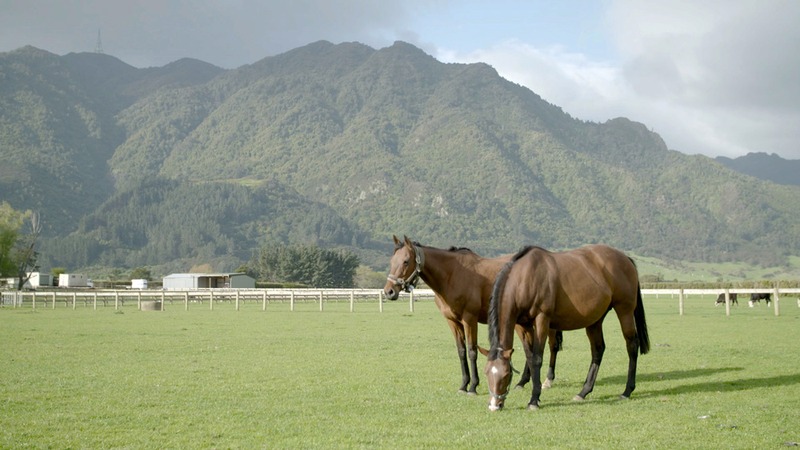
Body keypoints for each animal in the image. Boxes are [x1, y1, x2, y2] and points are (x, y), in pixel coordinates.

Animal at [382, 236, 564, 394]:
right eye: (392, 261)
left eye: (406, 261)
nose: (389, 291)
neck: (452, 274)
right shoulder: (453, 322)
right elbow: (461, 351)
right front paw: (464, 384)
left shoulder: (469, 319)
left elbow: (472, 351)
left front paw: (473, 386)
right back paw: (523, 382)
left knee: (551, 346)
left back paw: (546, 380)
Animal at [482, 244, 648, 410]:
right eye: (486, 372)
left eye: (506, 374)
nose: (494, 406)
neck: (525, 278)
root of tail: (625, 258)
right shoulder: (524, 326)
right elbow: (529, 357)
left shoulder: (542, 319)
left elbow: (536, 359)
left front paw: (534, 400)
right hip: (595, 320)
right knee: (598, 350)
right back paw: (583, 392)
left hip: (625, 311)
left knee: (632, 345)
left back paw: (627, 391)